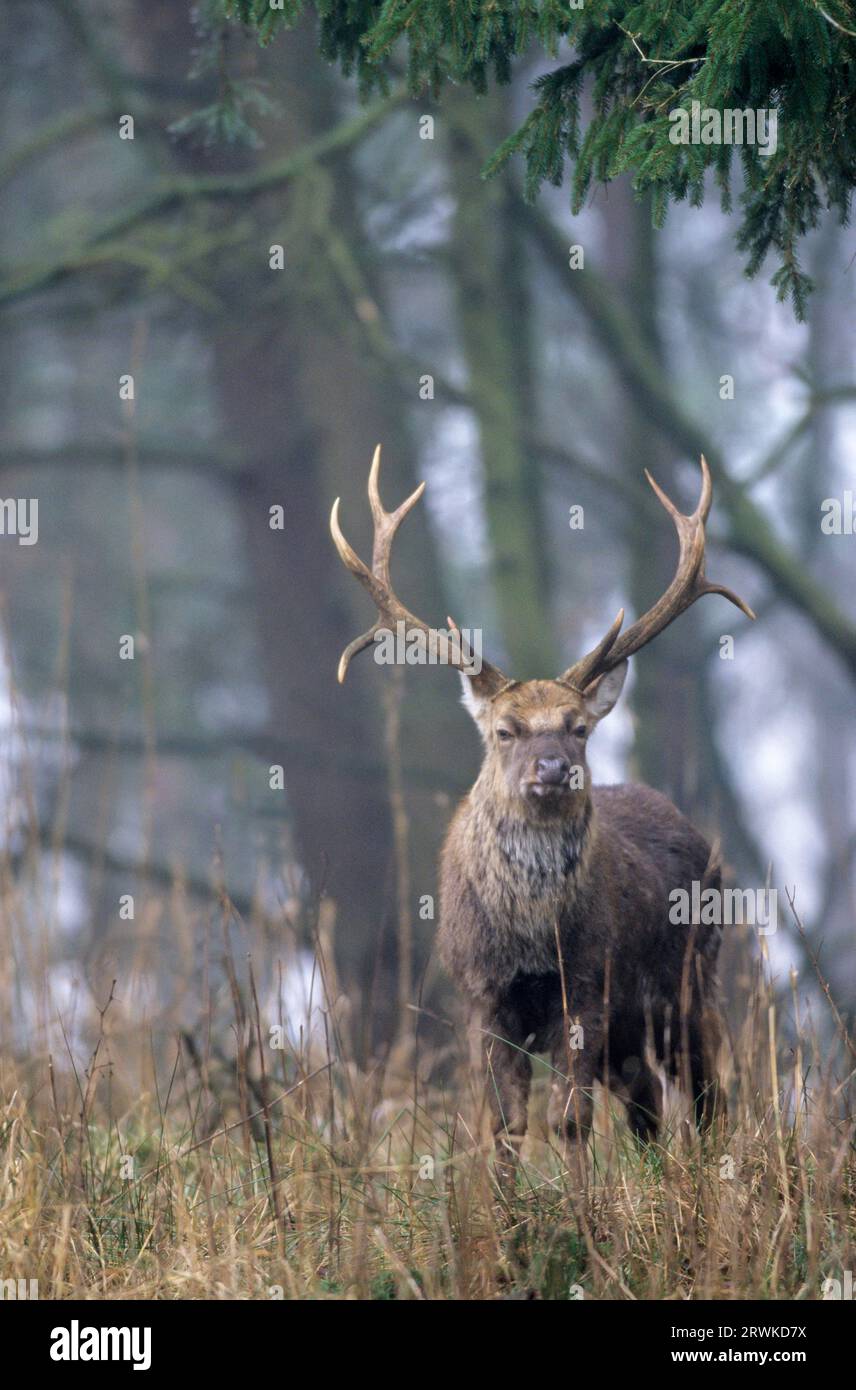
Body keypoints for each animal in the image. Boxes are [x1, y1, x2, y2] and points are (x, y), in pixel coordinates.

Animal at [330, 447, 750, 1173]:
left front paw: (583, 1206)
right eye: (506, 730)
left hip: (693, 977)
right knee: (646, 1101)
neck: (530, 932)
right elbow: (504, 1123)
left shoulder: (587, 983)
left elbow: (569, 1120)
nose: (552, 768)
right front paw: (509, 1205)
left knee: (704, 1094)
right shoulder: (483, 996)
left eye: (578, 727)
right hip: (636, 1026)